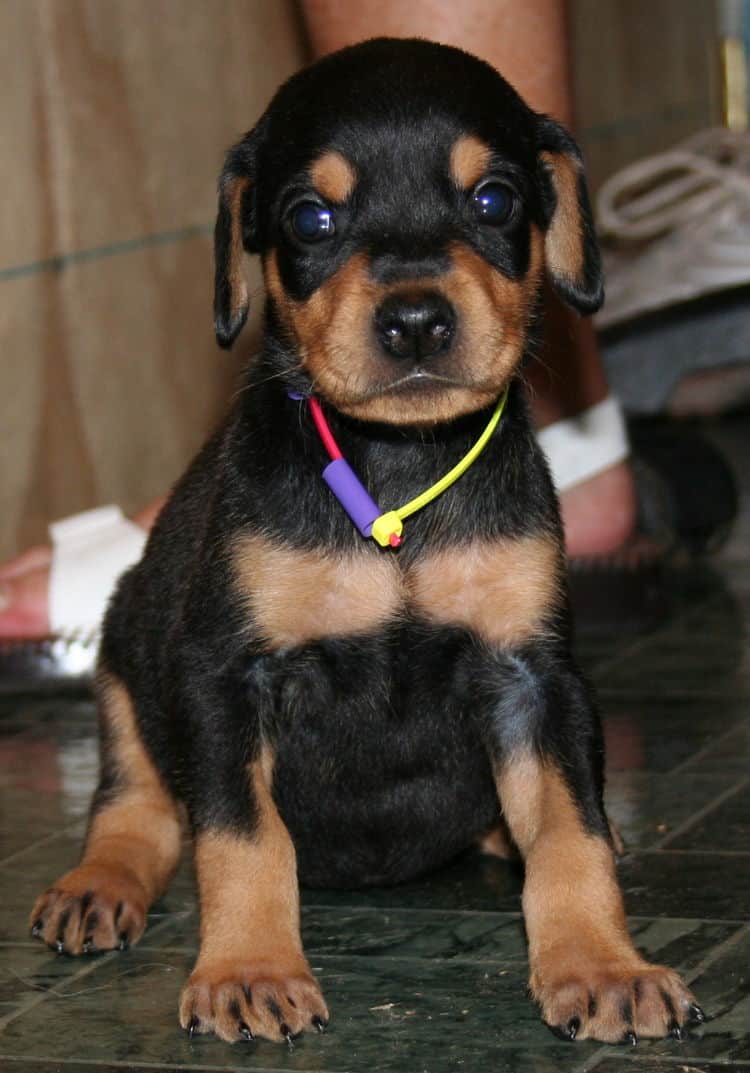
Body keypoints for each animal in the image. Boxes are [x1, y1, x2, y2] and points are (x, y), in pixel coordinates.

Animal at [30, 37, 703, 1042]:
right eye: (310, 217)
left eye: (494, 198)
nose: (416, 319)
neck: (396, 479)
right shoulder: (222, 676)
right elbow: (243, 836)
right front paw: (249, 970)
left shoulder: (535, 675)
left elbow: (570, 833)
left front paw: (602, 964)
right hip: (126, 641)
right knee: (137, 804)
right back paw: (98, 883)